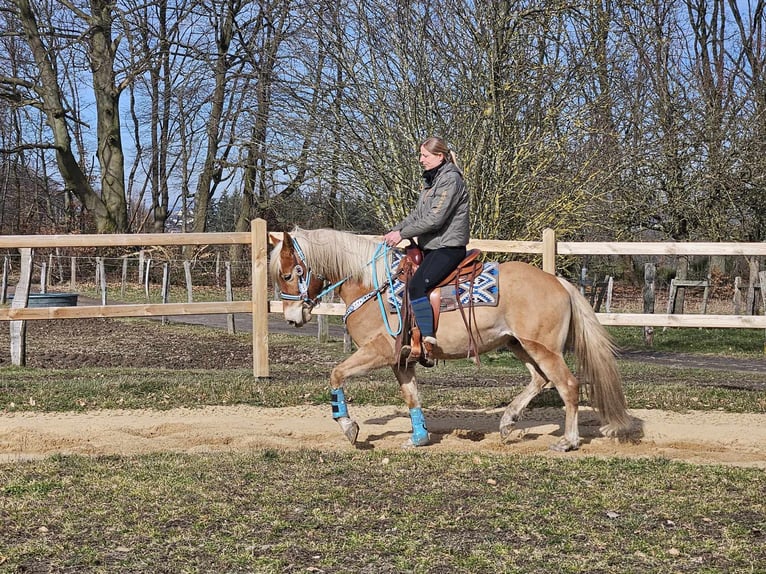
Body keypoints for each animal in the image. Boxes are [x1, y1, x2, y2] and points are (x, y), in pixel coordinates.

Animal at [270, 227, 636, 452]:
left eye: (288, 274)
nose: (292, 317)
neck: (373, 285)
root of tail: (559, 282)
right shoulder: (401, 360)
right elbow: (412, 397)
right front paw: (418, 438)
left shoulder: (380, 351)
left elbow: (336, 374)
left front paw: (348, 426)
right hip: (519, 345)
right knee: (540, 380)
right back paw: (507, 422)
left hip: (542, 348)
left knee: (568, 386)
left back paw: (569, 441)